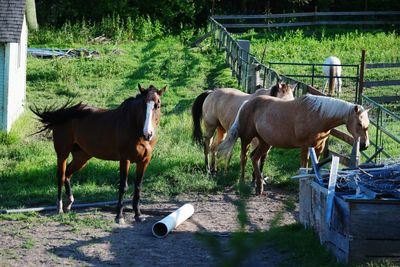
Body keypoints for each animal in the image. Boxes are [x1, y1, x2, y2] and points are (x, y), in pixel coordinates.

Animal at [30, 84, 166, 224]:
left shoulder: (144, 161)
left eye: (158, 105)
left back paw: (69, 203)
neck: (134, 128)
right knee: (61, 176)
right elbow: (123, 186)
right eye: (143, 105)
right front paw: (119, 216)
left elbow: (138, 187)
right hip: (62, 153)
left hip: (82, 157)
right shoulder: (125, 159)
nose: (148, 134)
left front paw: (138, 214)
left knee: (67, 173)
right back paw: (60, 207)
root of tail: (62, 114)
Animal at [217, 95, 370, 196]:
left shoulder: (319, 148)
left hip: (265, 142)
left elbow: (315, 166)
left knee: (254, 158)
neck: (319, 116)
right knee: (244, 158)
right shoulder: (306, 146)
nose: (365, 145)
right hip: (247, 139)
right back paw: (243, 182)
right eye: (359, 124)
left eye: (367, 125)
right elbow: (305, 165)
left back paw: (259, 185)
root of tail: (247, 103)